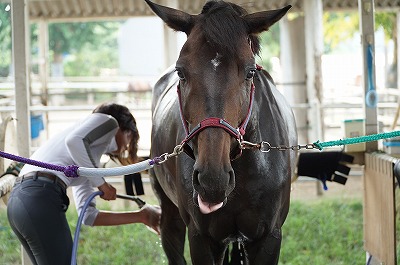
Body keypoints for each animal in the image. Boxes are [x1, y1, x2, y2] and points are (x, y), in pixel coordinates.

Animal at [147, 1, 296, 262]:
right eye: (181, 72)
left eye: (250, 71)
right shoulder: (202, 238)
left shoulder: (268, 237)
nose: (212, 180)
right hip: (169, 212)